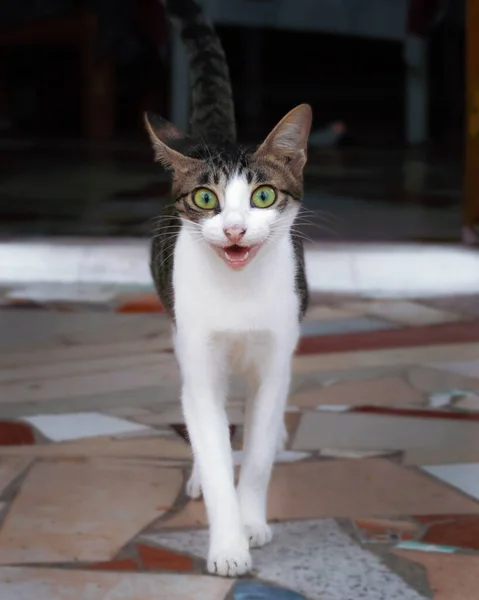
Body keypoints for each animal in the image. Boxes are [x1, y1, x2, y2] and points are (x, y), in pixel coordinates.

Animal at [144, 0, 314, 576]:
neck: (239, 292)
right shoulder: (199, 353)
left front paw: (253, 520)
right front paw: (228, 547)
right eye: (205, 199)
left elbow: (257, 453)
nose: (236, 229)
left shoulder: (275, 354)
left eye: (262, 196)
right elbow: (215, 447)